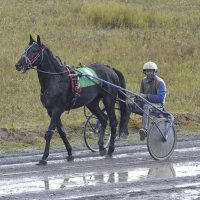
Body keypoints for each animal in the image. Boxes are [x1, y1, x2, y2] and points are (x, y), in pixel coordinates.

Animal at [15, 35, 128, 165]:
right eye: (26, 49)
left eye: (34, 50)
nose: (19, 65)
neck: (55, 80)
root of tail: (110, 69)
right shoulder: (50, 111)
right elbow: (62, 132)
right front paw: (69, 153)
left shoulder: (57, 109)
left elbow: (49, 133)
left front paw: (44, 157)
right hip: (92, 103)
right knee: (103, 119)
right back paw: (101, 147)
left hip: (109, 100)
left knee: (113, 122)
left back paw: (110, 150)